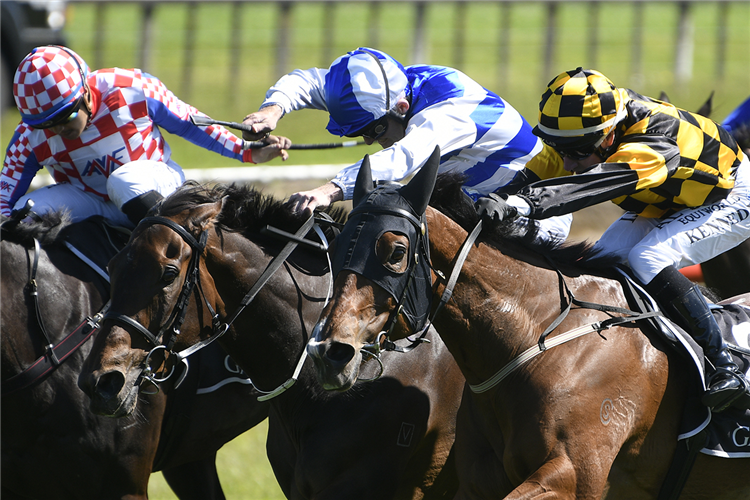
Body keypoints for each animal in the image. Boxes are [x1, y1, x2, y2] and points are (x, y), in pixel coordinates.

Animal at [306, 151, 750, 500]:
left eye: (396, 252)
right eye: (338, 244)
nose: (329, 353)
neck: (539, 339)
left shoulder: (572, 476)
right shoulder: (479, 481)